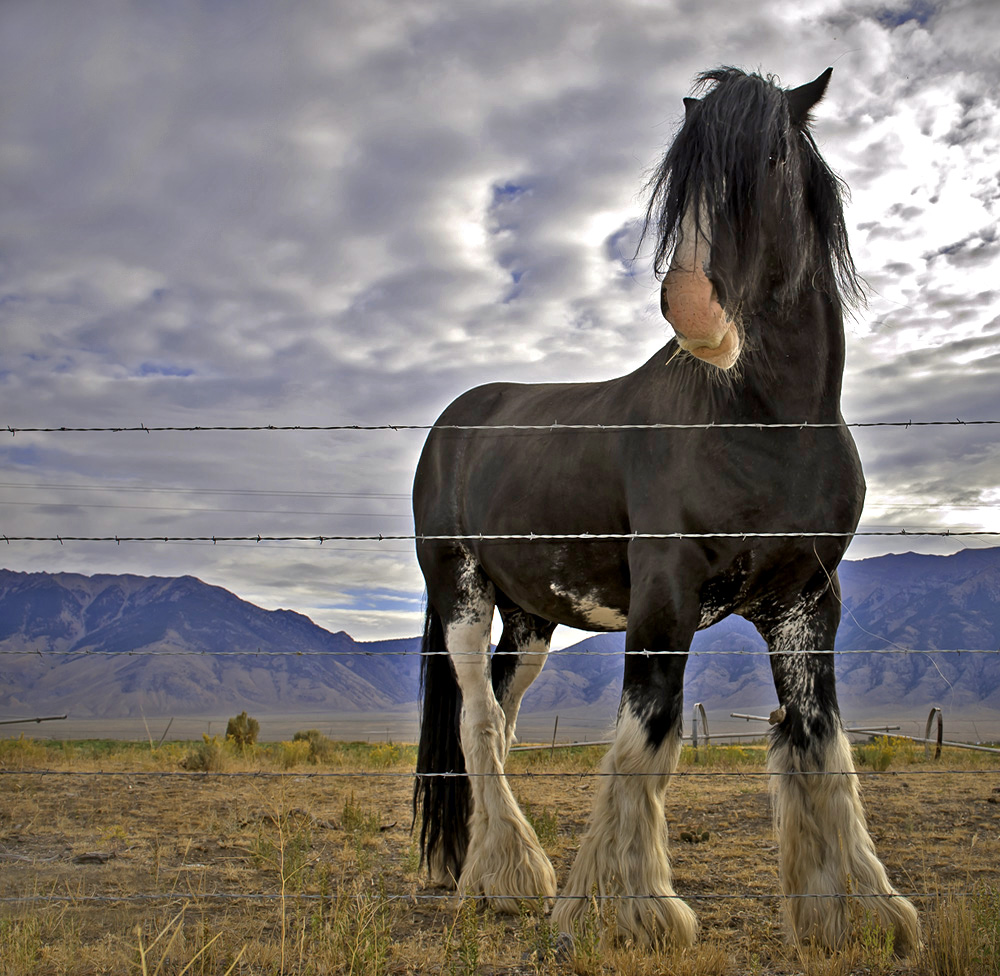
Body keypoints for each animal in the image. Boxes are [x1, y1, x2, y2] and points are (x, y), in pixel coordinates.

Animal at [410, 66, 916, 952]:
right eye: (683, 176)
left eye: (773, 156)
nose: (694, 311)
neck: (763, 424)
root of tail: (458, 418)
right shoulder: (666, 592)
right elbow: (646, 740)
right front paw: (628, 909)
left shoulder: (807, 601)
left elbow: (819, 745)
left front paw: (851, 911)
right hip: (460, 592)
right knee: (475, 722)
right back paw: (508, 880)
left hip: (530, 616)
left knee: (501, 721)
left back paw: (490, 871)